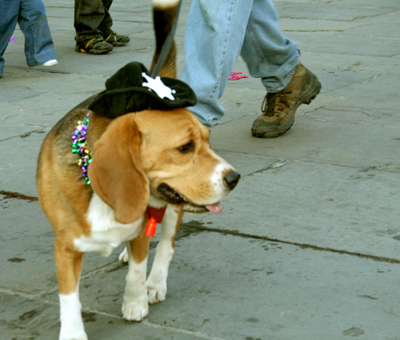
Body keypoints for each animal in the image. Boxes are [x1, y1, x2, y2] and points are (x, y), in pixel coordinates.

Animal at [37, 2, 239, 340]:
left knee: (167, 245)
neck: (104, 198)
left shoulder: (143, 231)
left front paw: (136, 303)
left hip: (173, 211)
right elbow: (69, 297)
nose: (235, 178)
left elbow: (137, 269)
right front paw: (73, 333)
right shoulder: (65, 247)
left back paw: (154, 283)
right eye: (185, 148)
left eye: (208, 142)